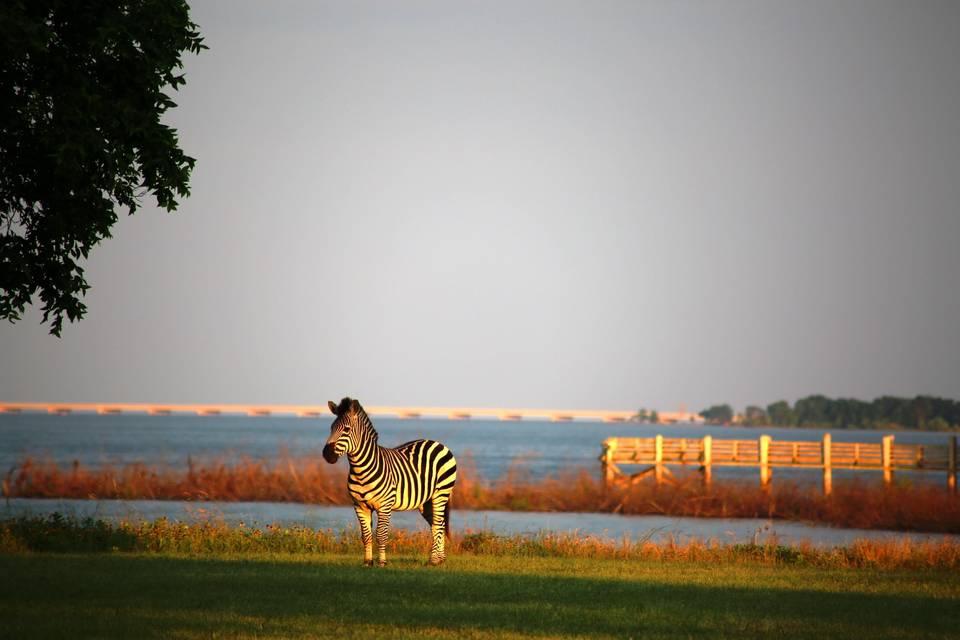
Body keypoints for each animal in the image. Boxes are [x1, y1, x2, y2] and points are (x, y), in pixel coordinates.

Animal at [322, 398, 458, 568]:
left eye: (346, 429)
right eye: (331, 428)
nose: (327, 454)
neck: (360, 469)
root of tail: (438, 443)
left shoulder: (385, 506)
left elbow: (381, 534)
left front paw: (382, 562)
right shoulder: (359, 505)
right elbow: (366, 535)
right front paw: (368, 562)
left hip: (441, 493)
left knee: (439, 524)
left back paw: (433, 560)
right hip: (426, 502)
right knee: (438, 525)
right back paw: (440, 559)